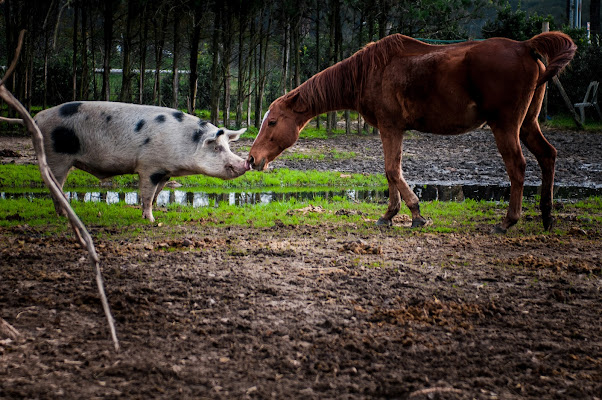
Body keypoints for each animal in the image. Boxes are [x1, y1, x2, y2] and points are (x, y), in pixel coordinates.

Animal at [33, 101, 246, 222]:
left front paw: (151, 215)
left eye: (228, 147)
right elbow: (146, 194)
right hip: (56, 156)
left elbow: (155, 194)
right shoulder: (149, 166)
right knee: (55, 185)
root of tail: (37, 117)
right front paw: (151, 220)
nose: (244, 163)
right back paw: (62, 215)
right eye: (217, 148)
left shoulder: (165, 172)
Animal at [246, 32, 576, 233]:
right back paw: (547, 217)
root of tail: (526, 46)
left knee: (517, 167)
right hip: (528, 125)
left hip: (505, 126)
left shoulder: (390, 127)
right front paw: (391, 215)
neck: (368, 73)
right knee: (548, 157)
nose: (251, 159)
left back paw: (508, 222)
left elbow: (392, 170)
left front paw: (413, 213)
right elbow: (393, 170)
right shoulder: (394, 129)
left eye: (272, 122)